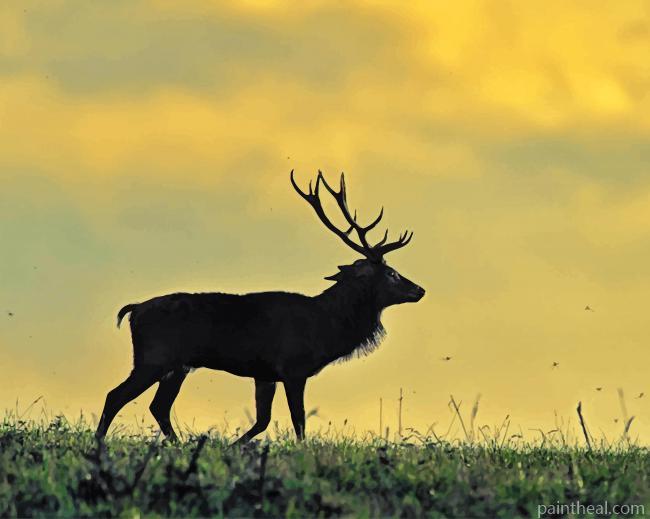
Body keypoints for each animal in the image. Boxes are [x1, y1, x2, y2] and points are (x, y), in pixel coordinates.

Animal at [95, 171, 425, 444]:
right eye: (392, 273)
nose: (420, 289)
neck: (326, 329)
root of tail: (134, 310)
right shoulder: (293, 368)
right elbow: (298, 421)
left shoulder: (265, 374)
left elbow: (262, 421)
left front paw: (233, 446)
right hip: (154, 357)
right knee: (116, 396)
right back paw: (99, 443)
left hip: (178, 366)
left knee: (158, 406)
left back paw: (178, 445)